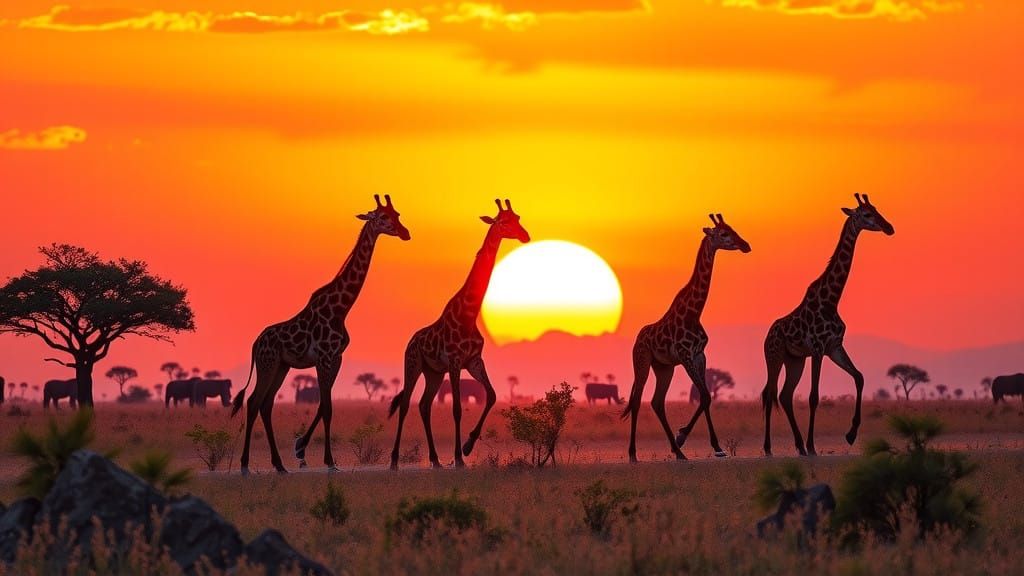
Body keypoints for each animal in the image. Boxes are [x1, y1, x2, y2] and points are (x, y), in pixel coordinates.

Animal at [231, 194, 410, 474]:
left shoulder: (335, 358)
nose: (405, 233)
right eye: (383, 217)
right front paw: (329, 462)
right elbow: (327, 408)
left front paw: (300, 448)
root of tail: (255, 343)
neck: (341, 308)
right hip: (267, 363)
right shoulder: (324, 358)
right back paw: (245, 465)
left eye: (398, 214)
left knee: (266, 404)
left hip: (281, 366)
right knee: (253, 402)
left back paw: (279, 465)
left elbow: (323, 405)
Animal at [388, 199, 530, 470]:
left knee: (424, 405)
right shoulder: (454, 362)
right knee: (405, 404)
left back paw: (435, 459)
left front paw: (467, 446)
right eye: (504, 222)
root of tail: (410, 341)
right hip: (413, 365)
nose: (525, 236)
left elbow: (492, 395)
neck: (469, 314)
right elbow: (456, 408)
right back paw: (394, 461)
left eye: (517, 217)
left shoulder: (473, 361)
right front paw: (458, 457)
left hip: (434, 373)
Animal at [621, 214, 751, 462]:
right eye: (724, 234)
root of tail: (636, 340)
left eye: (733, 229)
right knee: (637, 401)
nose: (745, 245)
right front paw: (684, 436)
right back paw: (633, 453)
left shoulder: (699, 355)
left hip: (663, 368)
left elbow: (706, 396)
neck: (694, 312)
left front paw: (712, 446)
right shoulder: (685, 355)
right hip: (641, 362)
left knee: (657, 402)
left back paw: (679, 452)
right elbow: (704, 395)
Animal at [761, 193, 894, 457]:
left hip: (795, 360)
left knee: (785, 395)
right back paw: (770, 448)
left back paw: (799, 446)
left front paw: (851, 434)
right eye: (867, 214)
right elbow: (814, 396)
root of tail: (767, 335)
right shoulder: (818, 349)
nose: (889, 228)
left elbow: (860, 377)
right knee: (770, 394)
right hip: (774, 356)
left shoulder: (834, 347)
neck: (832, 300)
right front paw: (814, 445)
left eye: (877, 210)